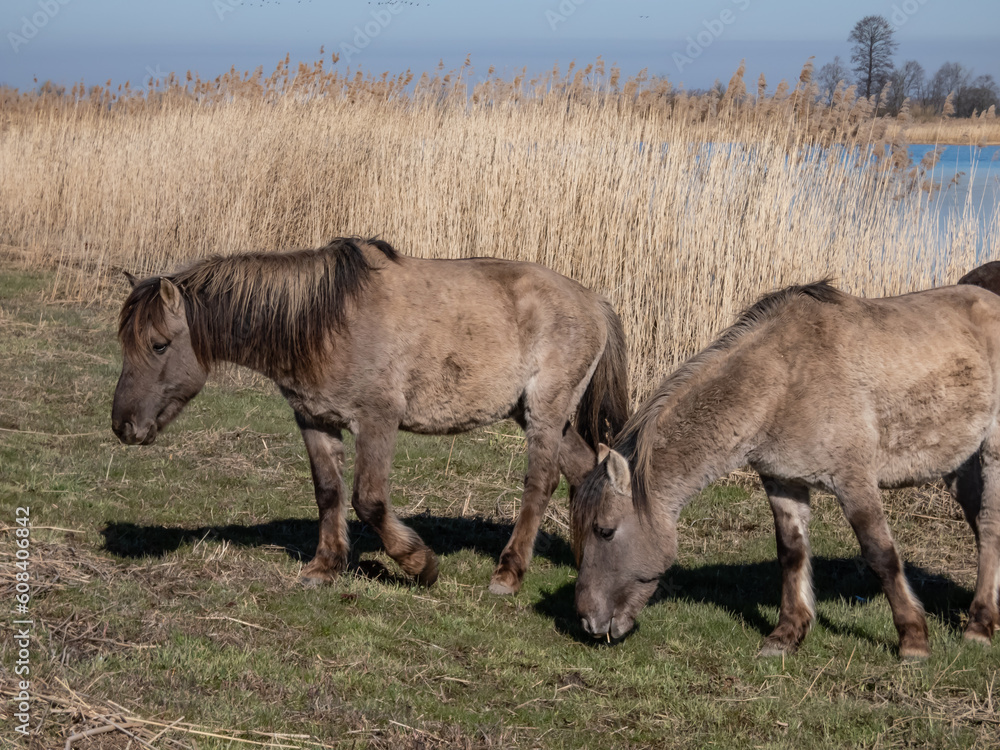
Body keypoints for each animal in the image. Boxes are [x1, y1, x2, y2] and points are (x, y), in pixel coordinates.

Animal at [112, 237, 629, 595]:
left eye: (158, 345)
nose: (123, 426)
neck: (327, 321)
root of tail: (594, 302)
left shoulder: (378, 421)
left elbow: (369, 500)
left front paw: (421, 564)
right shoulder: (315, 420)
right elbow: (328, 493)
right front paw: (325, 567)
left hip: (545, 412)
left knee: (540, 485)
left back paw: (508, 573)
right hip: (536, 414)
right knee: (586, 471)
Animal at [572, 280, 1000, 659]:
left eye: (605, 531)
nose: (588, 621)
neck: (782, 380)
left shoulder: (854, 480)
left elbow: (880, 554)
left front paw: (913, 639)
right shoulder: (783, 482)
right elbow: (792, 553)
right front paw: (787, 634)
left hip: (992, 452)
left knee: (990, 527)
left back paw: (979, 625)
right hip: (960, 468)